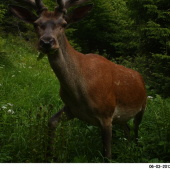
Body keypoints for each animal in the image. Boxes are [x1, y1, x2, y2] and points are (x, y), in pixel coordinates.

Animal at [9, 0, 147, 161]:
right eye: (36, 24)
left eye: (63, 23)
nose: (47, 42)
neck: (80, 91)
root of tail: (141, 78)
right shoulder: (72, 108)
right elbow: (51, 122)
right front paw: (50, 155)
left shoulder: (106, 113)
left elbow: (107, 156)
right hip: (121, 117)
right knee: (127, 127)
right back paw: (129, 148)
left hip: (142, 106)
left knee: (136, 128)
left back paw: (135, 149)